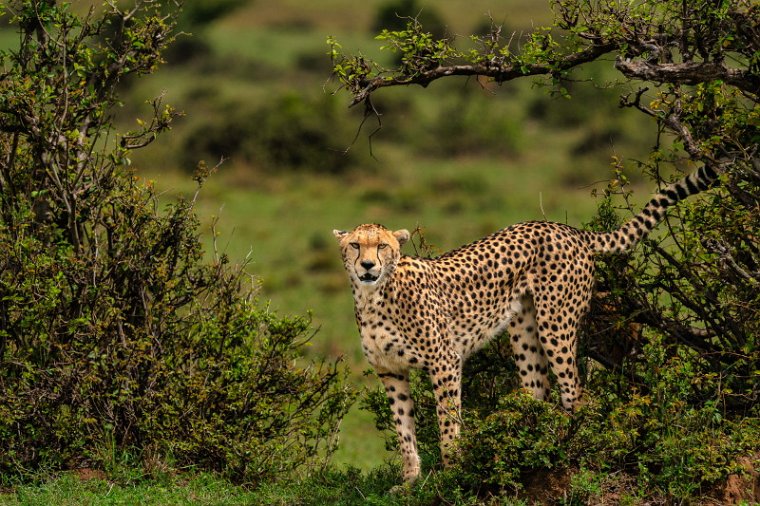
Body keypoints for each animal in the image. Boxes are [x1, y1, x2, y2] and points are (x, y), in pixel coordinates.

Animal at [332, 163, 720, 482]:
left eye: (382, 246)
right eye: (355, 245)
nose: (367, 265)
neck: (374, 297)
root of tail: (566, 228)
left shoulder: (444, 362)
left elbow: (448, 419)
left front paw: (453, 469)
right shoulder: (390, 370)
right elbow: (403, 428)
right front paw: (410, 480)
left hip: (556, 324)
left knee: (577, 394)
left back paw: (571, 450)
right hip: (524, 332)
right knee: (539, 390)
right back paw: (531, 446)